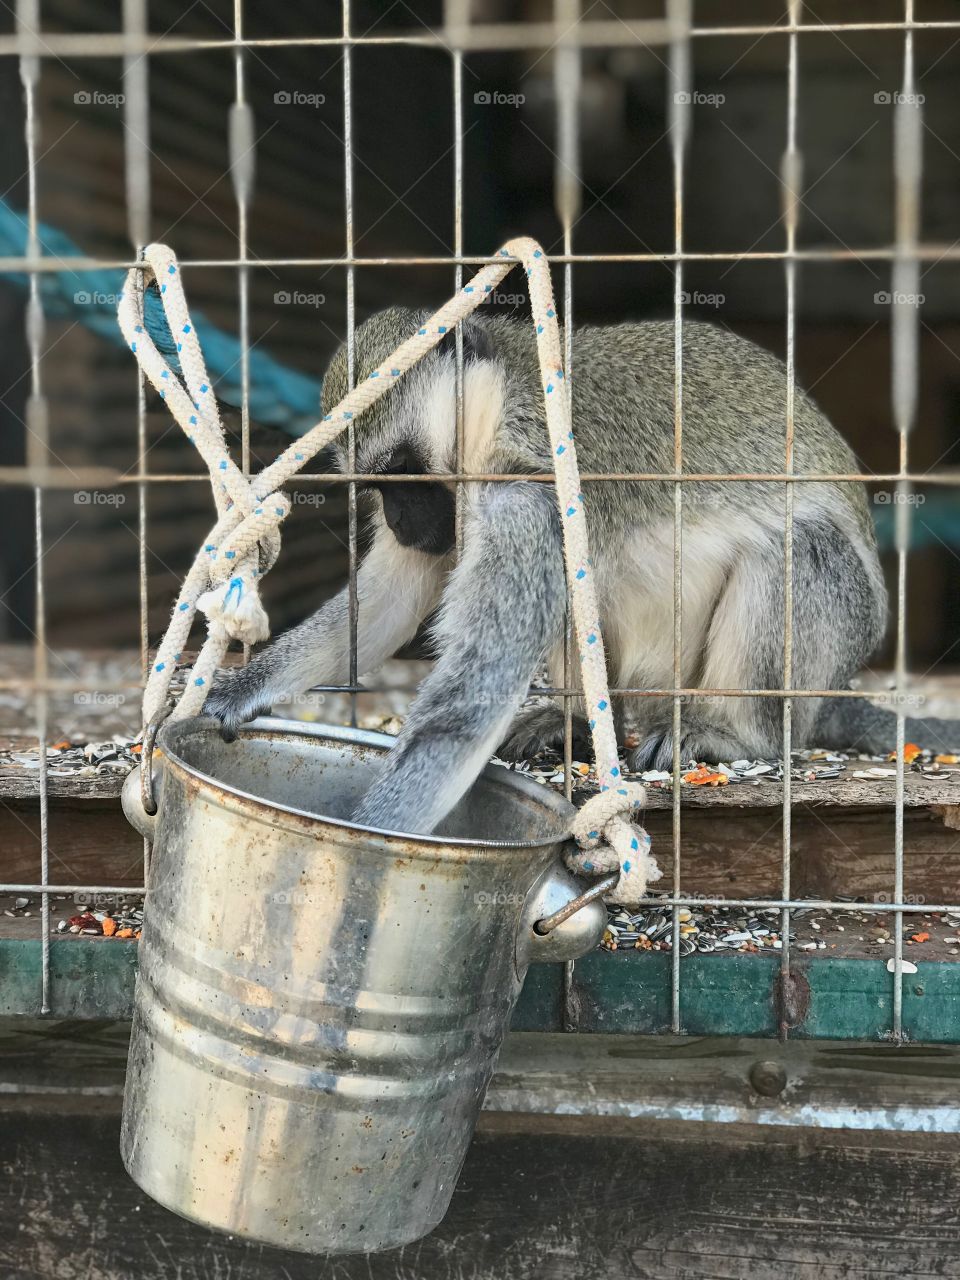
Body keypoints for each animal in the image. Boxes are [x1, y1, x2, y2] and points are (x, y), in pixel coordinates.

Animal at [202, 306, 960, 836]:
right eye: (379, 487)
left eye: (400, 472)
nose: (401, 522)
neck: (500, 404)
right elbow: (390, 599)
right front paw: (241, 690)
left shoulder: (526, 493)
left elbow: (474, 692)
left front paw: (372, 842)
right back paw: (572, 721)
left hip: (830, 640)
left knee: (800, 548)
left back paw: (735, 733)